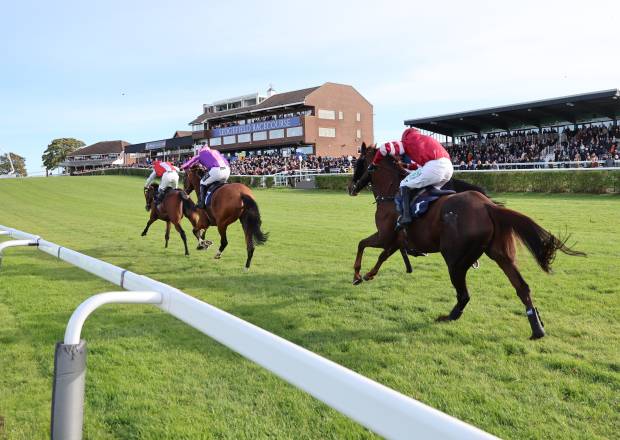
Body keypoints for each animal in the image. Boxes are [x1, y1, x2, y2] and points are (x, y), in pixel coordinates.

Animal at [352, 143, 584, 338]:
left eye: (357, 163)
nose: (351, 187)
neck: (392, 192)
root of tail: (488, 206)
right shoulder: (396, 240)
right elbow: (382, 256)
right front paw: (369, 274)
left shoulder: (385, 236)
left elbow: (363, 244)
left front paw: (357, 275)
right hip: (501, 254)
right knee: (522, 287)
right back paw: (537, 328)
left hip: (456, 260)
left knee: (464, 294)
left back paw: (448, 316)